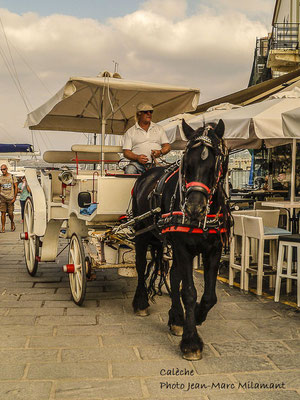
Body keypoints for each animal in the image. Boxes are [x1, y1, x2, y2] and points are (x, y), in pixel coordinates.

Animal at [131, 118, 232, 360]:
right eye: (187, 164)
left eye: (216, 163)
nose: (194, 208)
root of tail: (148, 171)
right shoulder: (183, 248)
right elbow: (189, 292)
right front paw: (191, 342)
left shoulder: (213, 250)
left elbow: (208, 296)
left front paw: (196, 316)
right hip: (142, 233)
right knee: (140, 266)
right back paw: (141, 302)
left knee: (174, 275)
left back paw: (176, 318)